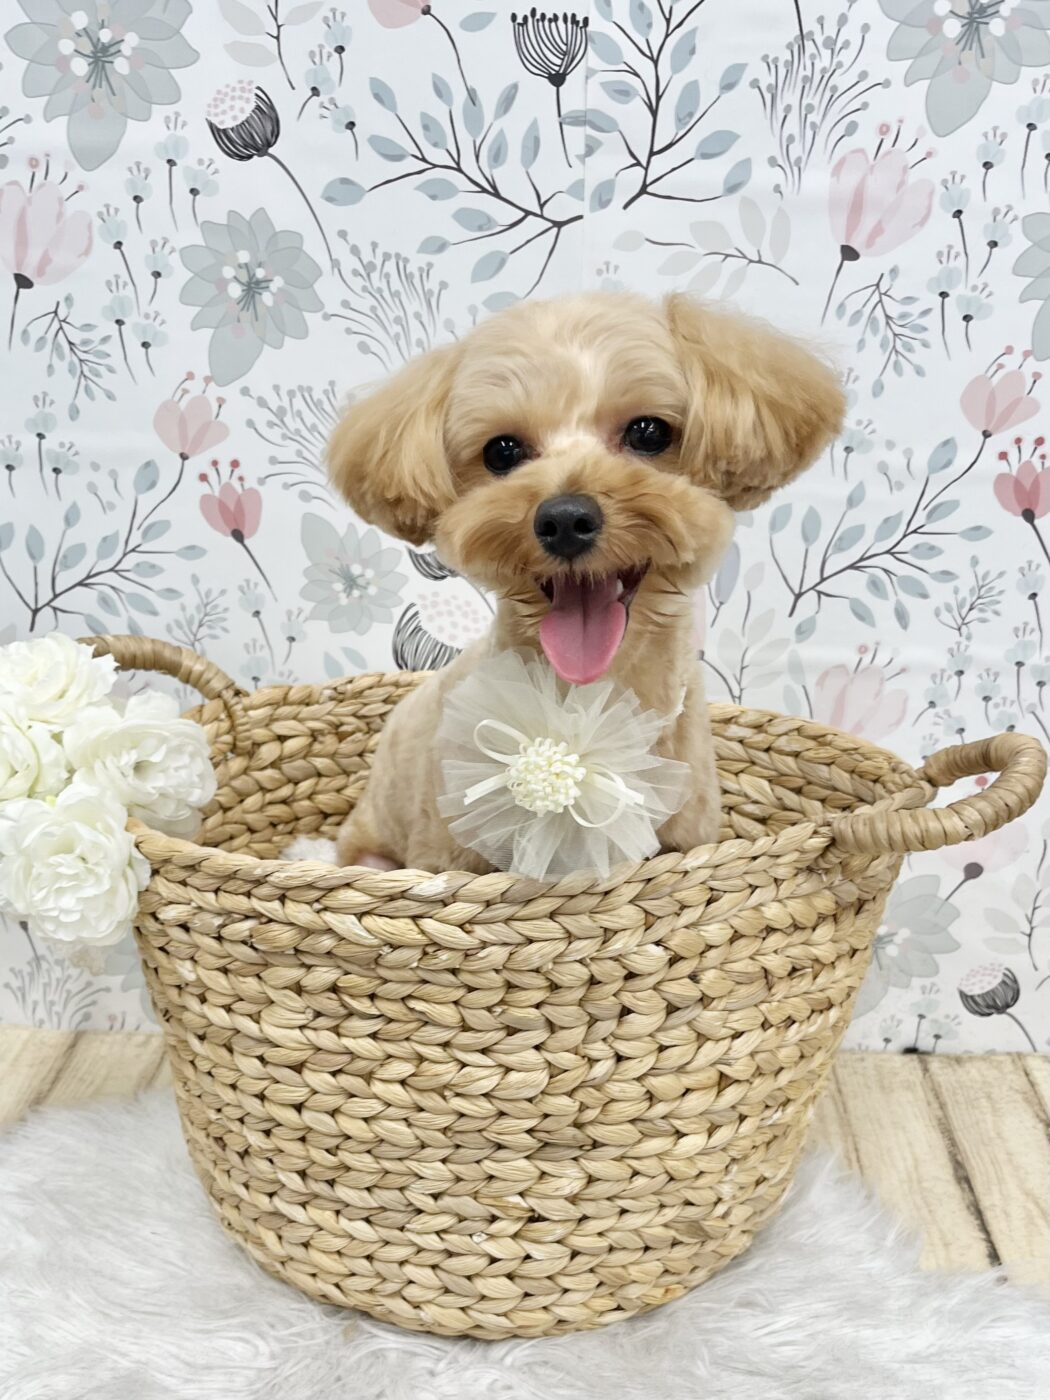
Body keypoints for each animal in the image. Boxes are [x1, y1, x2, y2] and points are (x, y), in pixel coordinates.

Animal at [326, 291, 844, 874]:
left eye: (648, 432)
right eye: (502, 452)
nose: (565, 519)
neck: (593, 700)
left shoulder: (686, 841)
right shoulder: (445, 854)